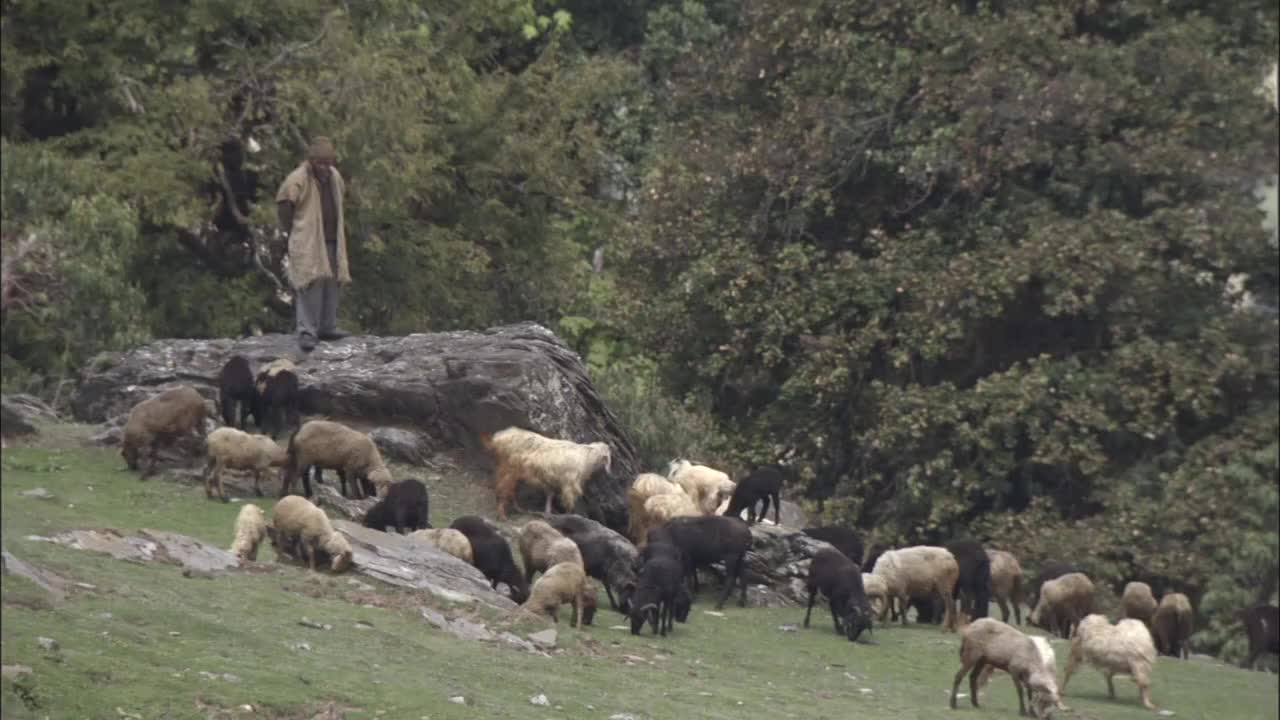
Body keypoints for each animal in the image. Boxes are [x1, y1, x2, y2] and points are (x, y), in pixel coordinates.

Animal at [483, 422, 614, 517]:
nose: (608, 472)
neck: (587, 457)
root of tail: (499, 437)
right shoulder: (569, 483)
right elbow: (569, 501)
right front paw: (569, 514)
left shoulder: (552, 481)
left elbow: (549, 496)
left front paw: (547, 512)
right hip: (509, 468)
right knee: (504, 488)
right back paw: (503, 514)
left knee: (509, 490)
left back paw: (517, 509)